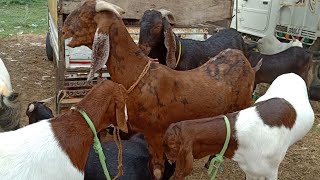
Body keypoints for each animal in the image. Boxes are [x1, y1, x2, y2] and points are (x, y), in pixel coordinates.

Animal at [62, 1, 260, 179]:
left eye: (84, 14)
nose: (63, 30)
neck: (138, 77)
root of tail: (244, 59)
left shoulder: (157, 134)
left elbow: (158, 171)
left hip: (244, 104)